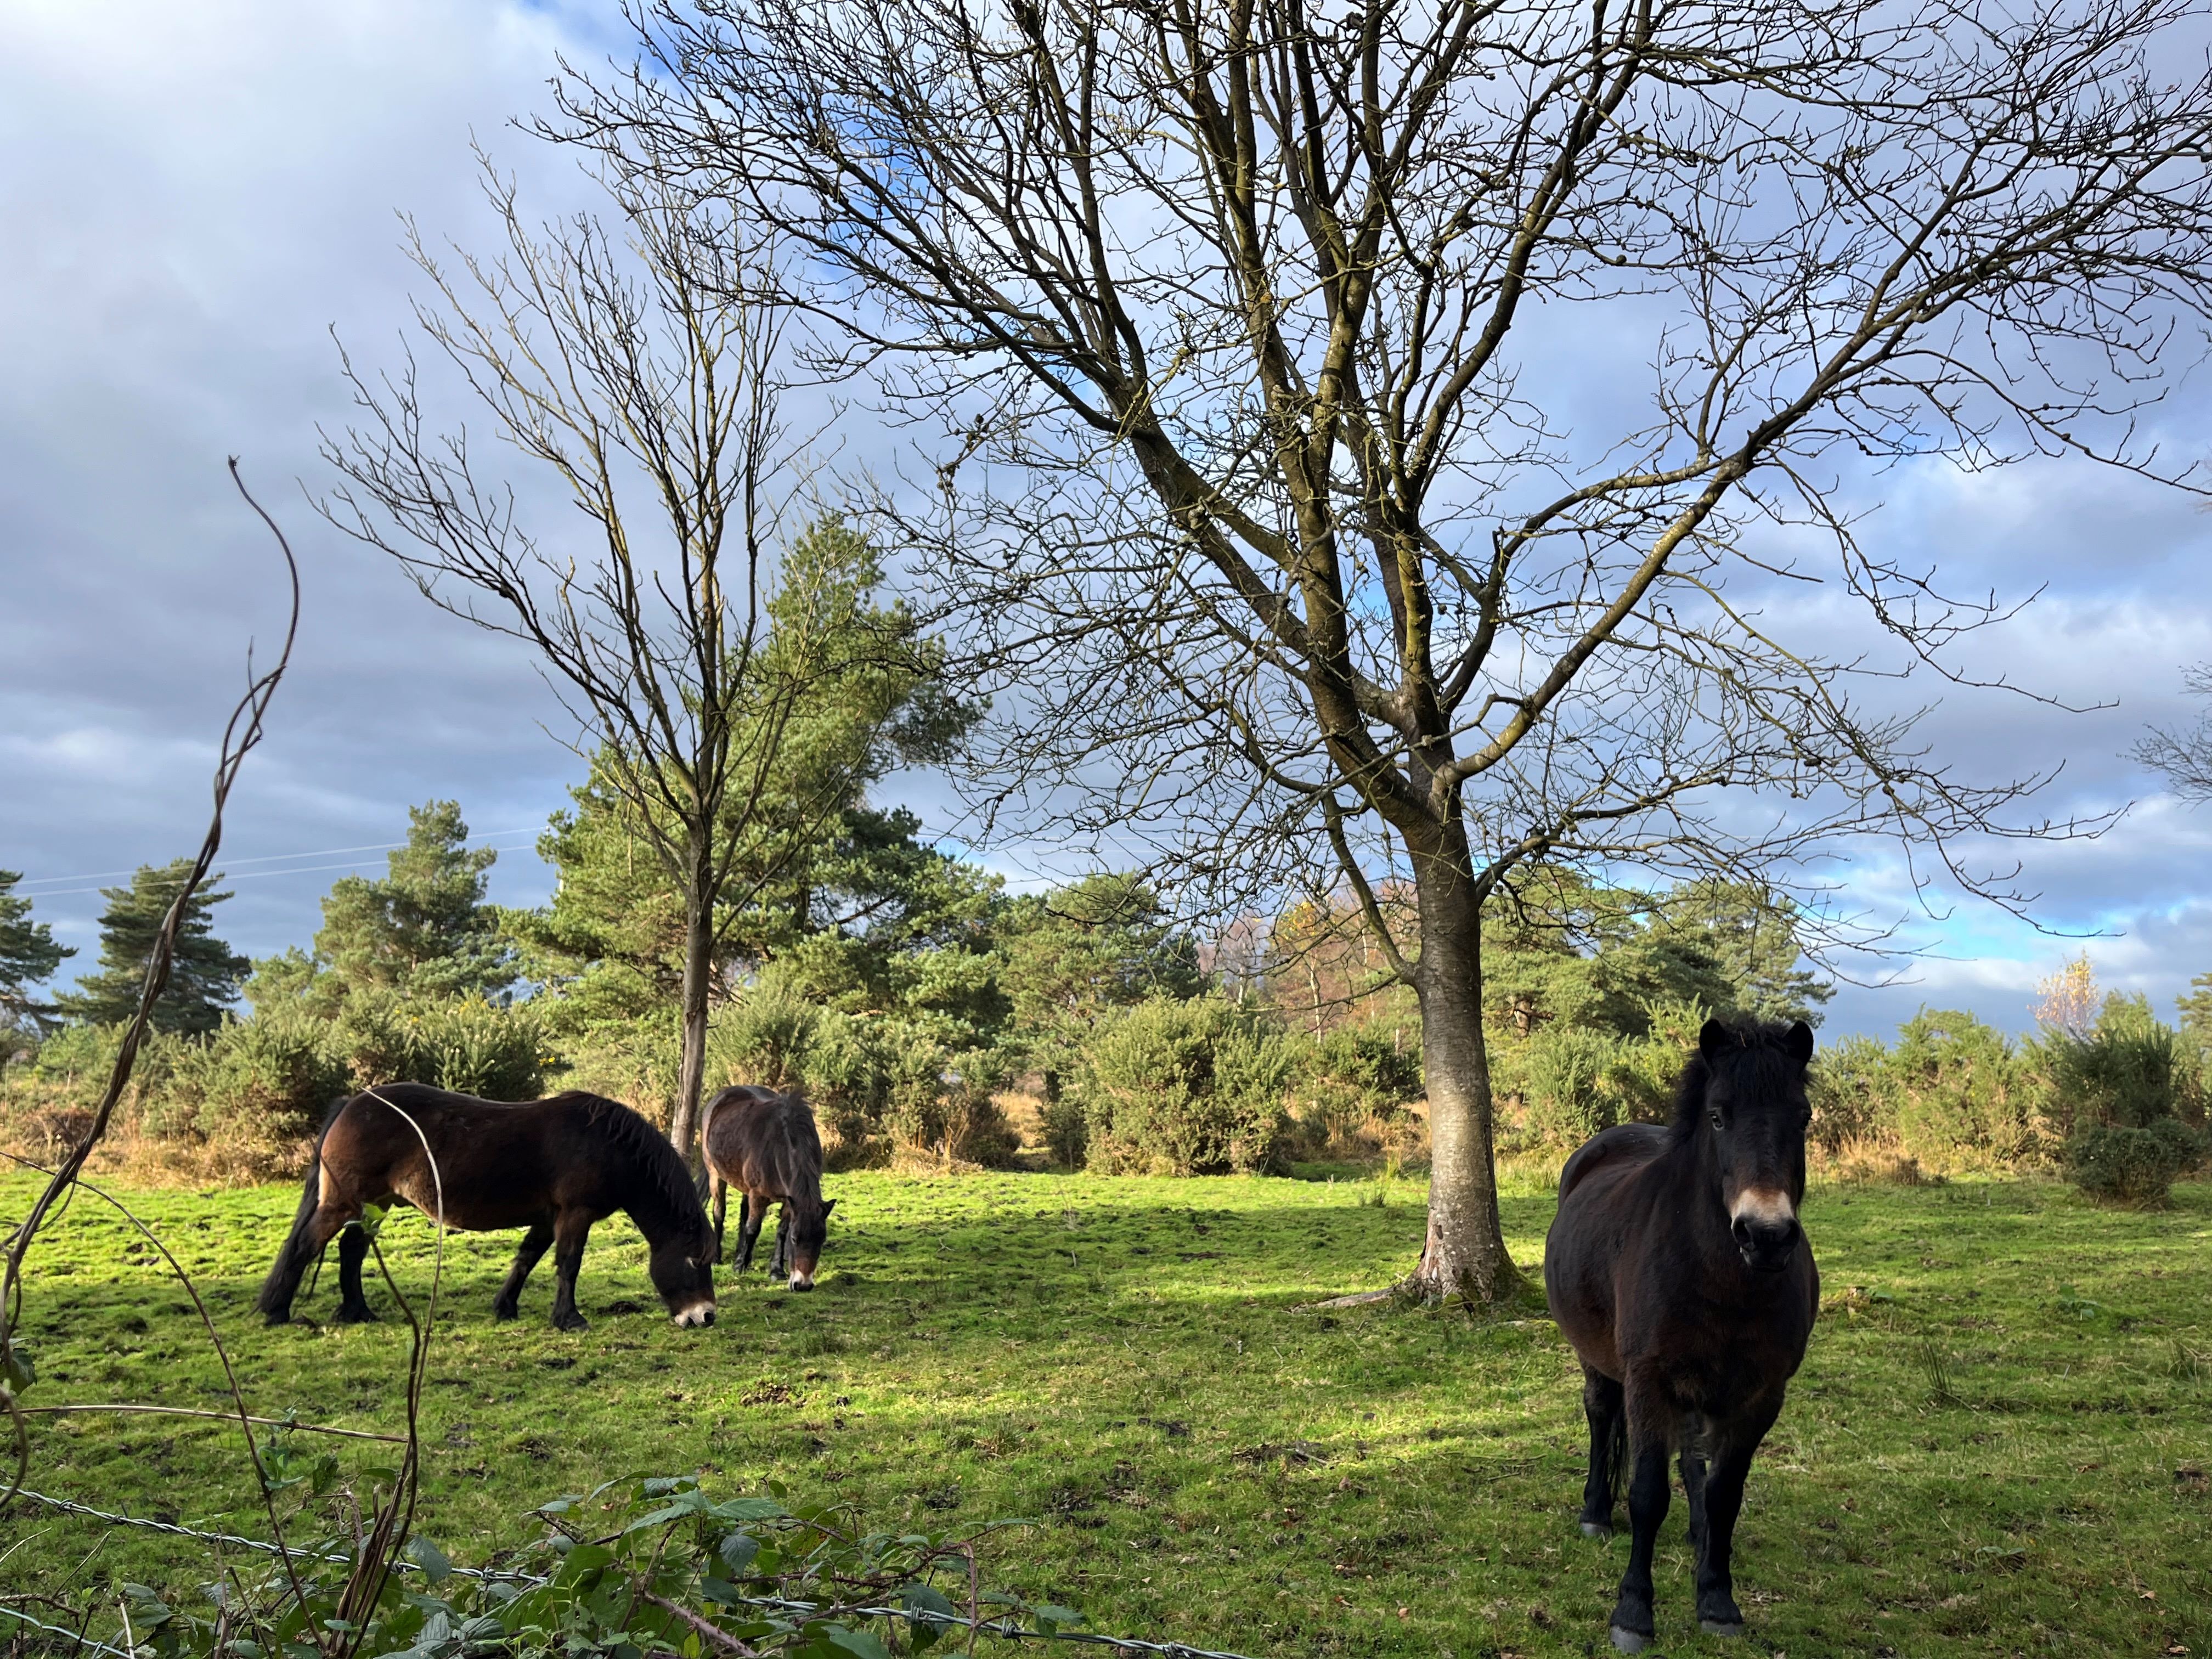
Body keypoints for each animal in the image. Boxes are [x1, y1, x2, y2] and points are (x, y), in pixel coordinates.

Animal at [256, 1083, 717, 1332]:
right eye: (695, 1260)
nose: (706, 1316)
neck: (607, 1145)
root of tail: (351, 1105)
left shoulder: (549, 1217)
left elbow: (527, 1259)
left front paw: (505, 1307)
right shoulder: (575, 1213)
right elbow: (569, 1264)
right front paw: (569, 1319)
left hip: (374, 1205)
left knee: (351, 1251)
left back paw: (358, 1311)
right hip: (344, 1203)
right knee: (306, 1247)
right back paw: (278, 1311)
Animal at [701, 1084, 835, 1292]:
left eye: (822, 1240)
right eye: (795, 1239)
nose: (803, 1285)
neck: (779, 1146)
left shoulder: (789, 1201)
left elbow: (780, 1231)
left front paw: (776, 1270)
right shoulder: (758, 1196)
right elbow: (753, 1229)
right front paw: (740, 1266)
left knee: (742, 1213)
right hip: (716, 1176)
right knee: (719, 1214)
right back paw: (718, 1257)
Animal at [1543, 1016, 1820, 1654]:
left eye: (1802, 1117)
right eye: (1718, 1116)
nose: (1766, 1235)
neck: (1722, 1279)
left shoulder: (1760, 1396)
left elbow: (1725, 1494)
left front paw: (1716, 1599)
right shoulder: (1649, 1383)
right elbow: (1648, 1495)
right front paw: (1633, 1614)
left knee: (1693, 1458)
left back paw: (1696, 1534)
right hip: (1601, 1364)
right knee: (1601, 1413)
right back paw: (1596, 1513)